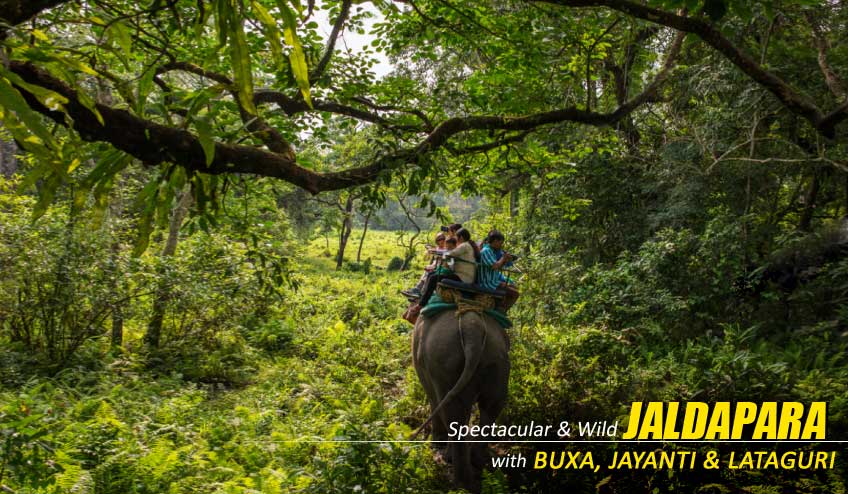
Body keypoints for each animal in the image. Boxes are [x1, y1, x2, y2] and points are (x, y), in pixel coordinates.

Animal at [411, 307, 511, 492]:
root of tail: (471, 327)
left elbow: (433, 398)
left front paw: (436, 446)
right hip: (498, 362)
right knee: (491, 408)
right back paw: (479, 463)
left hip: (445, 362)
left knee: (454, 416)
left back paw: (461, 485)